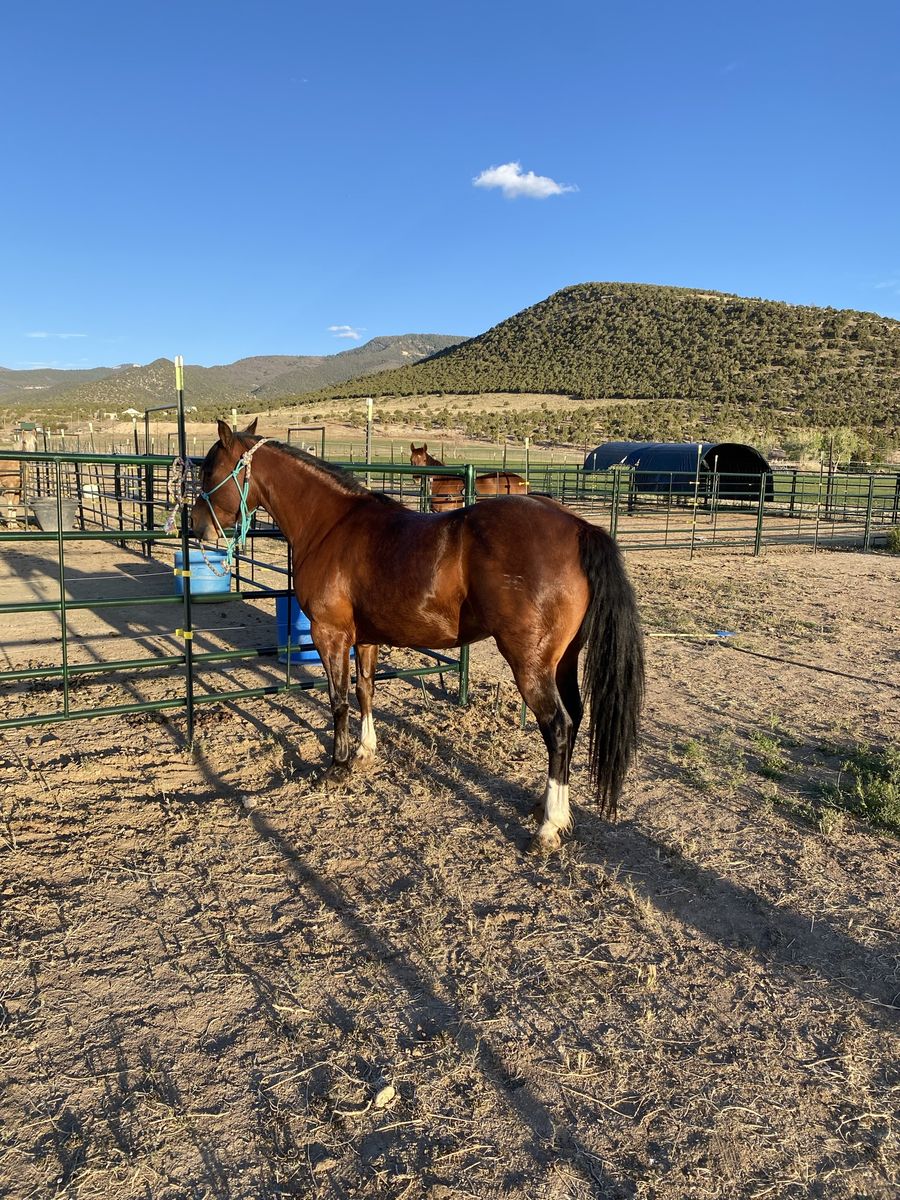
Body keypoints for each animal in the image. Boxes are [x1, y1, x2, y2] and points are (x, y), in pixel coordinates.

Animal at [193, 420, 644, 854]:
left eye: (209, 470)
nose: (198, 527)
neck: (331, 524)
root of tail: (579, 528)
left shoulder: (330, 634)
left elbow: (338, 701)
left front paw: (336, 768)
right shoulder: (365, 638)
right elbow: (365, 691)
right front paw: (364, 753)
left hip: (530, 663)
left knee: (558, 727)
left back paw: (548, 828)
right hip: (564, 659)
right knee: (575, 717)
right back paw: (545, 806)